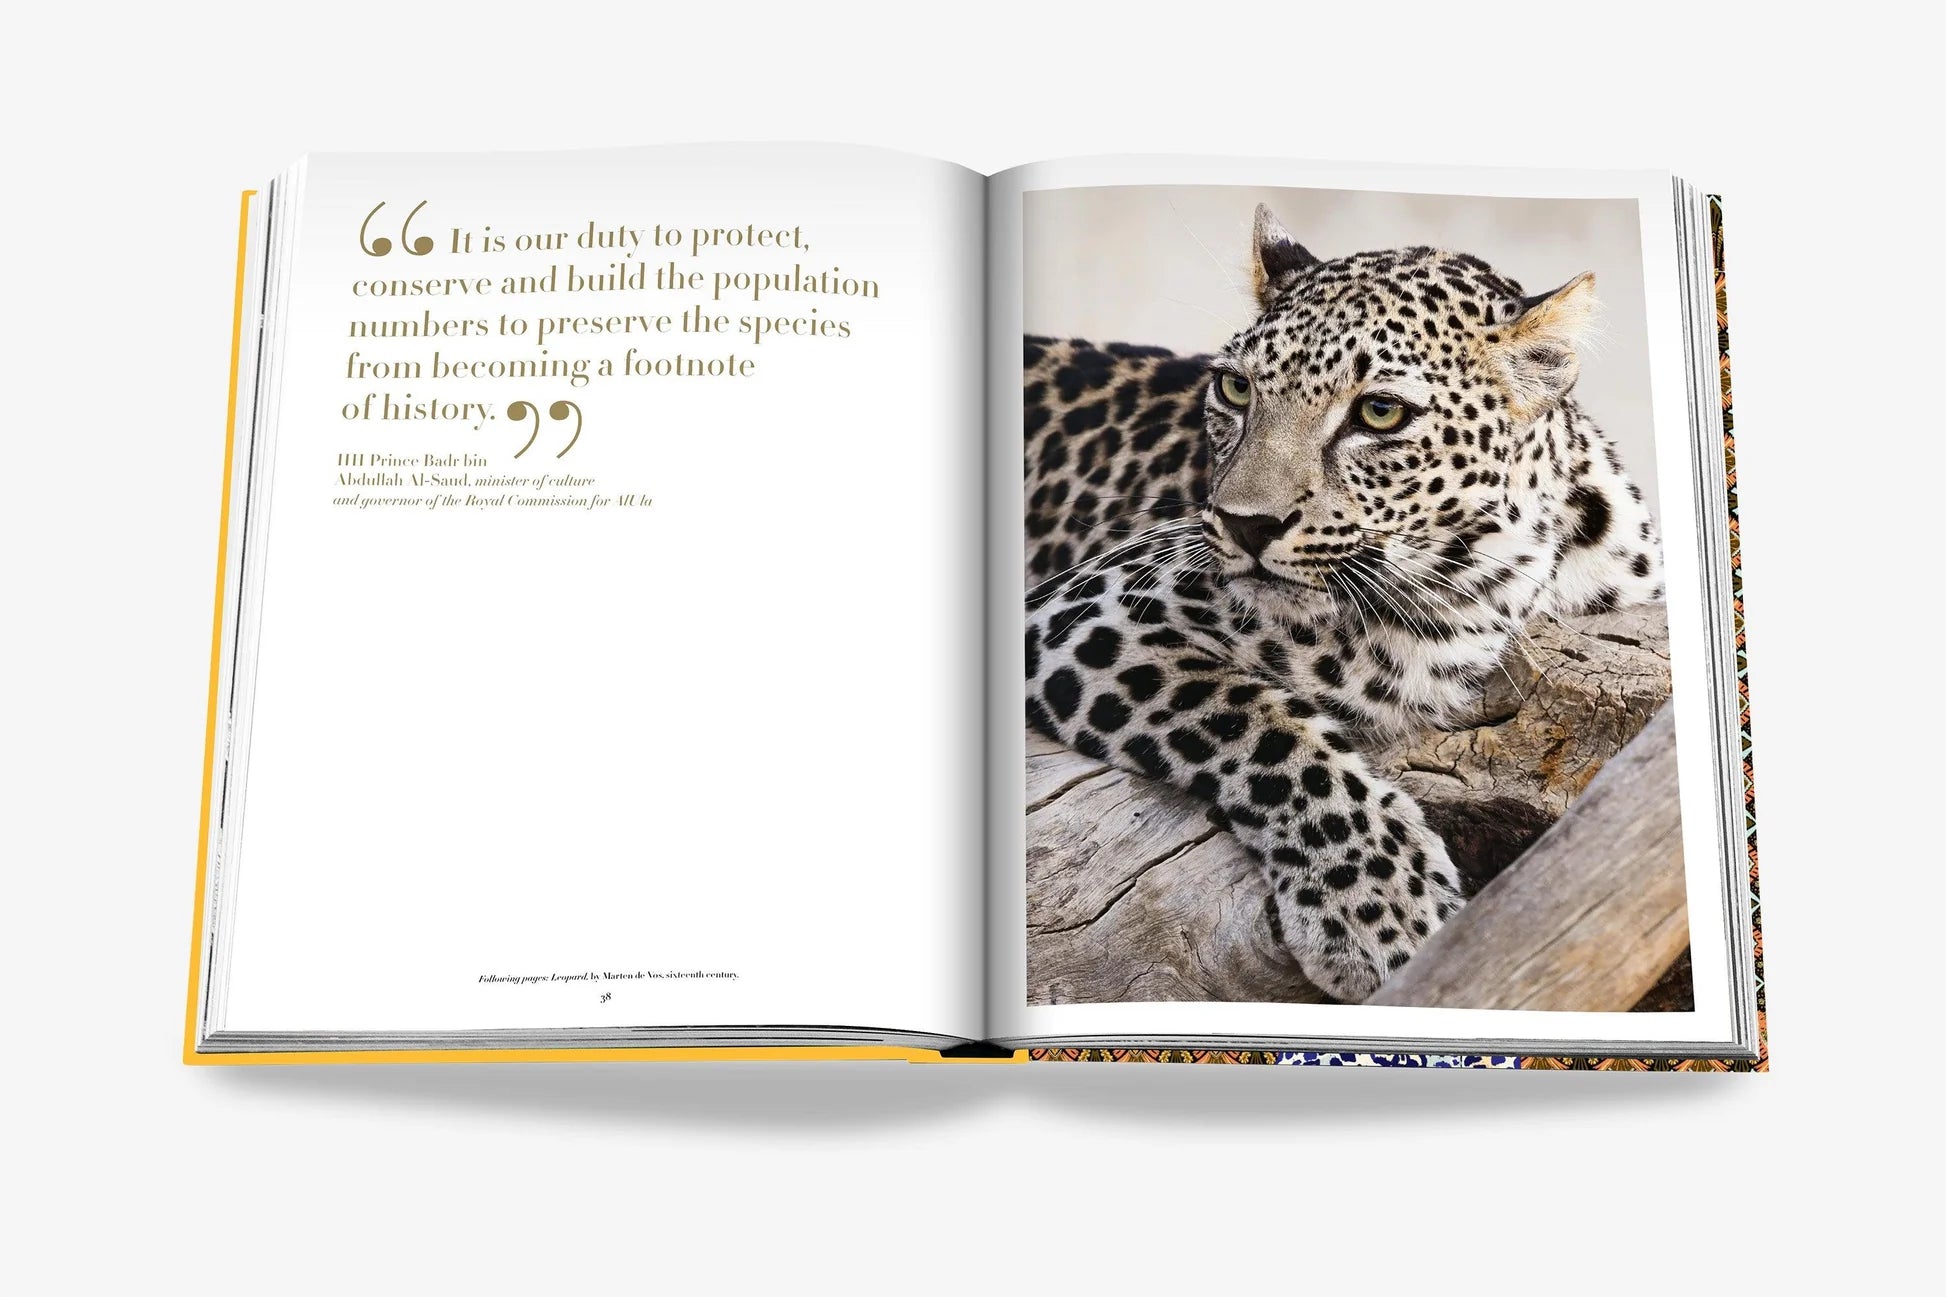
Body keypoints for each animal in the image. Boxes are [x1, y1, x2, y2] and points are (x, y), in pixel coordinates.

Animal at [1023, 205, 1665, 1002]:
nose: (1245, 524)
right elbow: (1263, 725)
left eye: (1380, 413)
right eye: (1236, 389)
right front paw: (1381, 910)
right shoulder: (1095, 608)